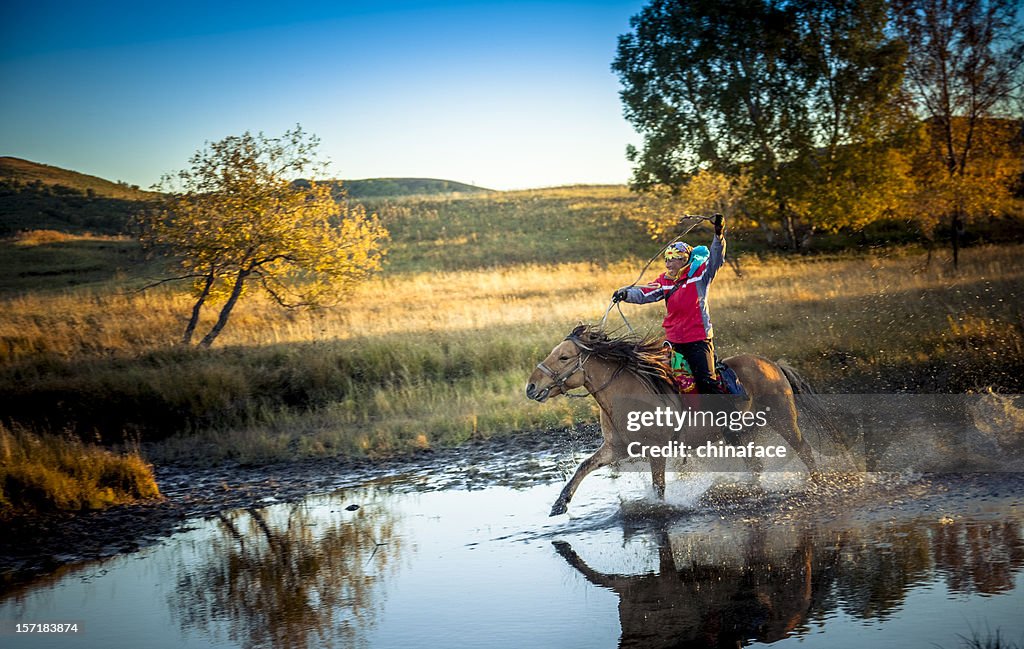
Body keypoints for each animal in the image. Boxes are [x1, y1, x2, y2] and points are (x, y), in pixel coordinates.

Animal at [528, 323, 831, 515]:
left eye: (564, 357)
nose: (531, 387)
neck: (627, 394)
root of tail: (773, 365)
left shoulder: (656, 451)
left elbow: (659, 486)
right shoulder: (616, 448)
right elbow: (584, 466)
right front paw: (560, 504)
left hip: (783, 420)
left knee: (803, 449)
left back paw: (818, 485)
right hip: (740, 434)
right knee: (755, 466)